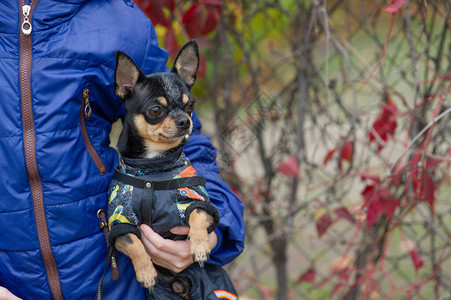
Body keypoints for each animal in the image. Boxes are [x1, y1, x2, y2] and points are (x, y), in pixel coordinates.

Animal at [106, 39, 219, 292]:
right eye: (155, 110)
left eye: (191, 105)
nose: (185, 121)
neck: (153, 168)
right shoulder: (119, 223)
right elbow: (134, 242)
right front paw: (146, 272)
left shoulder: (197, 201)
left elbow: (197, 214)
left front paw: (199, 246)